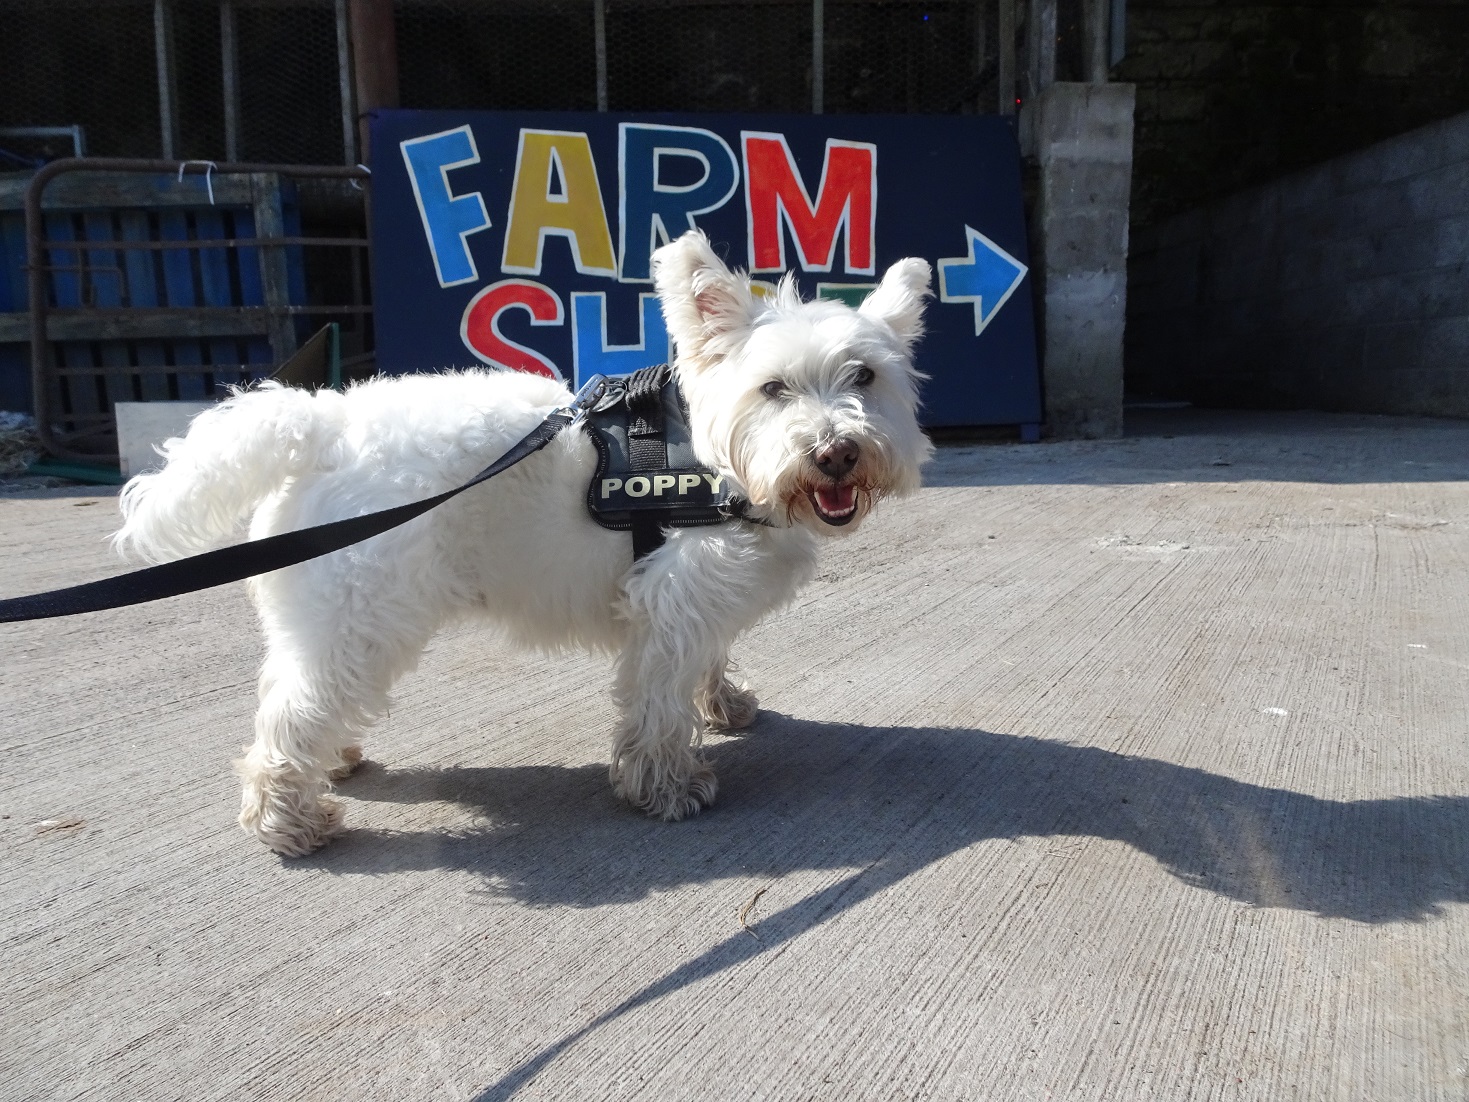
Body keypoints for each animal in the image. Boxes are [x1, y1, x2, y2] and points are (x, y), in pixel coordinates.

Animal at [114, 230, 928, 852]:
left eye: (864, 375)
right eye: (773, 388)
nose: (835, 453)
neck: (714, 454)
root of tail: (322, 425)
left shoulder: (695, 603)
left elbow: (709, 660)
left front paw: (724, 703)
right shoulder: (669, 606)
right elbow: (657, 701)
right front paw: (665, 785)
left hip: (326, 624)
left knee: (297, 696)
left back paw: (331, 762)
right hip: (361, 623)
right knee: (290, 717)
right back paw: (288, 822)